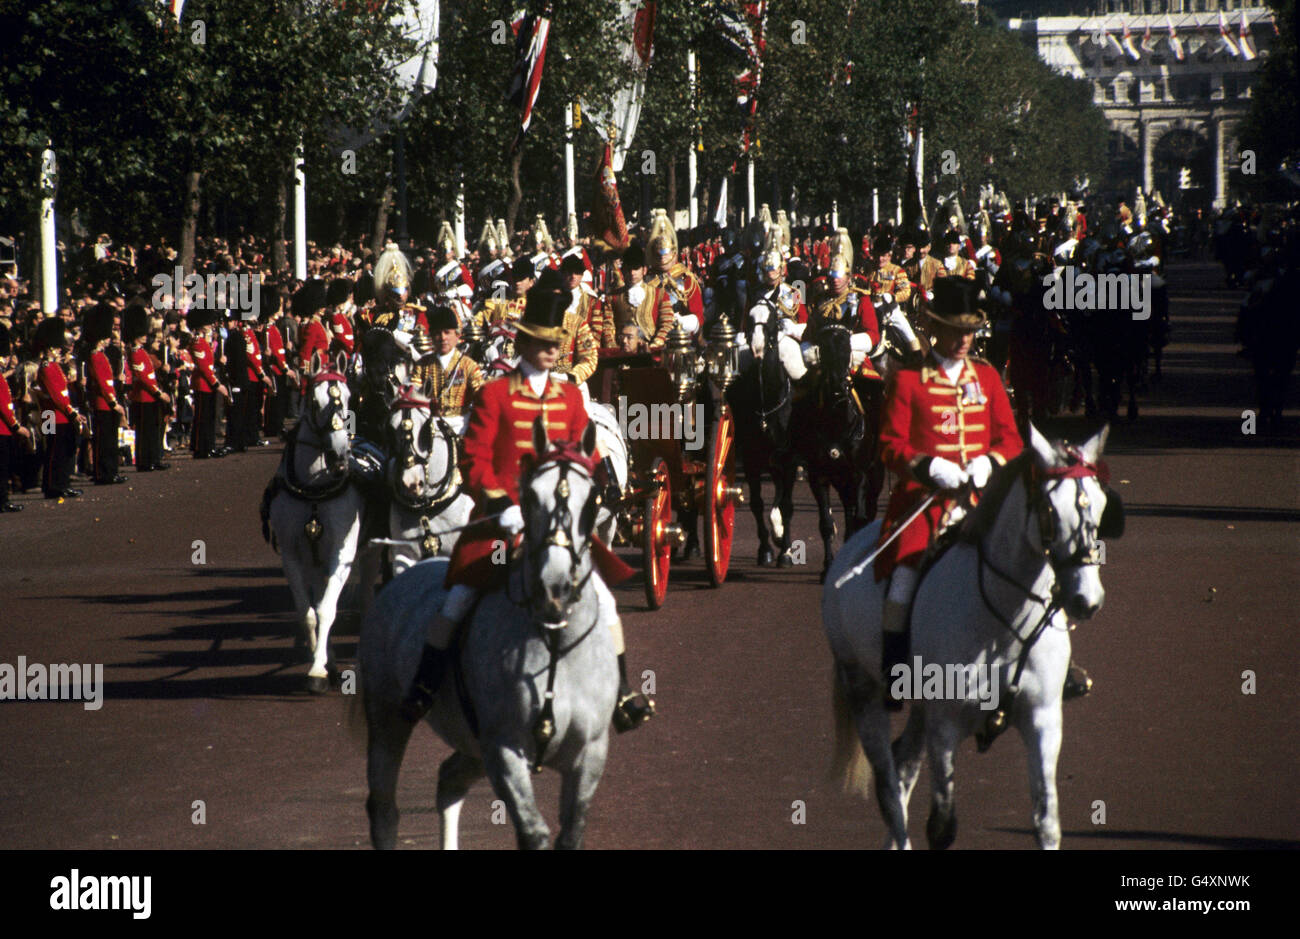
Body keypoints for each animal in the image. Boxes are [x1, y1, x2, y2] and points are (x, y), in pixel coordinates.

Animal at [260, 361, 366, 691]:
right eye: (315, 402)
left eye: (348, 397)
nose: (339, 456)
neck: (314, 488)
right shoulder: (292, 554)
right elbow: (307, 612)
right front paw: (321, 661)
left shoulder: (342, 552)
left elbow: (326, 608)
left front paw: (318, 667)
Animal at [358, 416, 616, 847]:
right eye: (529, 498)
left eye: (592, 499)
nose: (555, 587)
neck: (555, 646)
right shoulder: (504, 750)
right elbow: (533, 832)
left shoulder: (589, 755)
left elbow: (570, 834)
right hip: (388, 720)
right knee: (384, 809)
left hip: (470, 744)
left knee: (449, 780)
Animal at [821, 423, 1118, 847]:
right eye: (1049, 511)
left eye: (1101, 504)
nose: (1086, 599)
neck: (1004, 623)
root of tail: (848, 551)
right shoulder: (945, 726)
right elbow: (942, 826)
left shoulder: (1043, 718)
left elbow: (1047, 819)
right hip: (864, 691)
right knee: (889, 785)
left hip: (920, 708)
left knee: (903, 767)